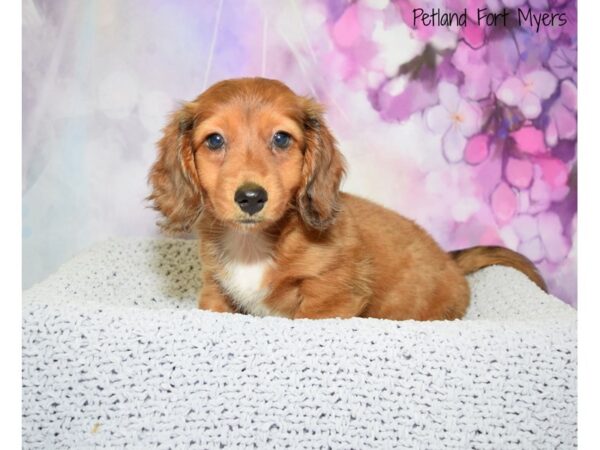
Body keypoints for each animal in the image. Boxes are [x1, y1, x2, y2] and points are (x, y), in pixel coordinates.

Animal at [148, 78, 548, 324]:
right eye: (214, 140)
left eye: (281, 138)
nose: (250, 198)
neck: (256, 245)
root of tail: (450, 261)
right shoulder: (216, 291)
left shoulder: (331, 299)